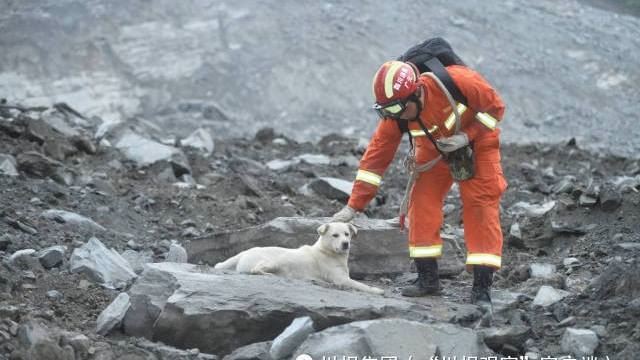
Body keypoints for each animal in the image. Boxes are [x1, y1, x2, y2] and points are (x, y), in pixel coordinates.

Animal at [215, 222, 384, 296]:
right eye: (335, 235)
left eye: (347, 234)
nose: (345, 244)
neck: (328, 252)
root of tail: (245, 252)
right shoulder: (340, 279)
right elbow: (361, 285)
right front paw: (377, 290)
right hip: (277, 261)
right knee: (255, 270)